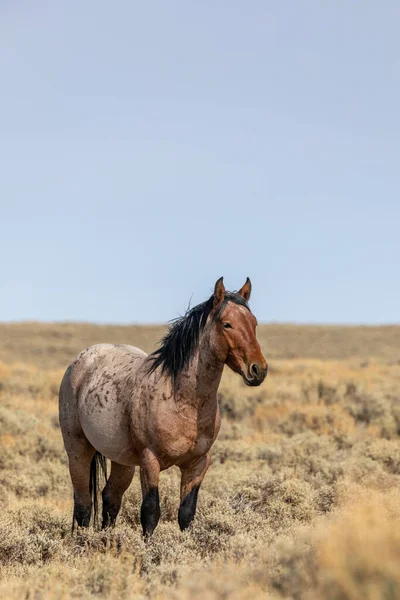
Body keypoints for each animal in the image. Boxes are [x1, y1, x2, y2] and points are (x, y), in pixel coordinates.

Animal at [57, 278, 268, 536]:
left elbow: (186, 513)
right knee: (83, 505)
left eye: (254, 323)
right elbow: (150, 513)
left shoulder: (198, 464)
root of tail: (83, 359)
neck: (183, 400)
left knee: (110, 499)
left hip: (122, 461)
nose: (258, 370)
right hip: (78, 450)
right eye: (227, 324)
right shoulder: (151, 461)